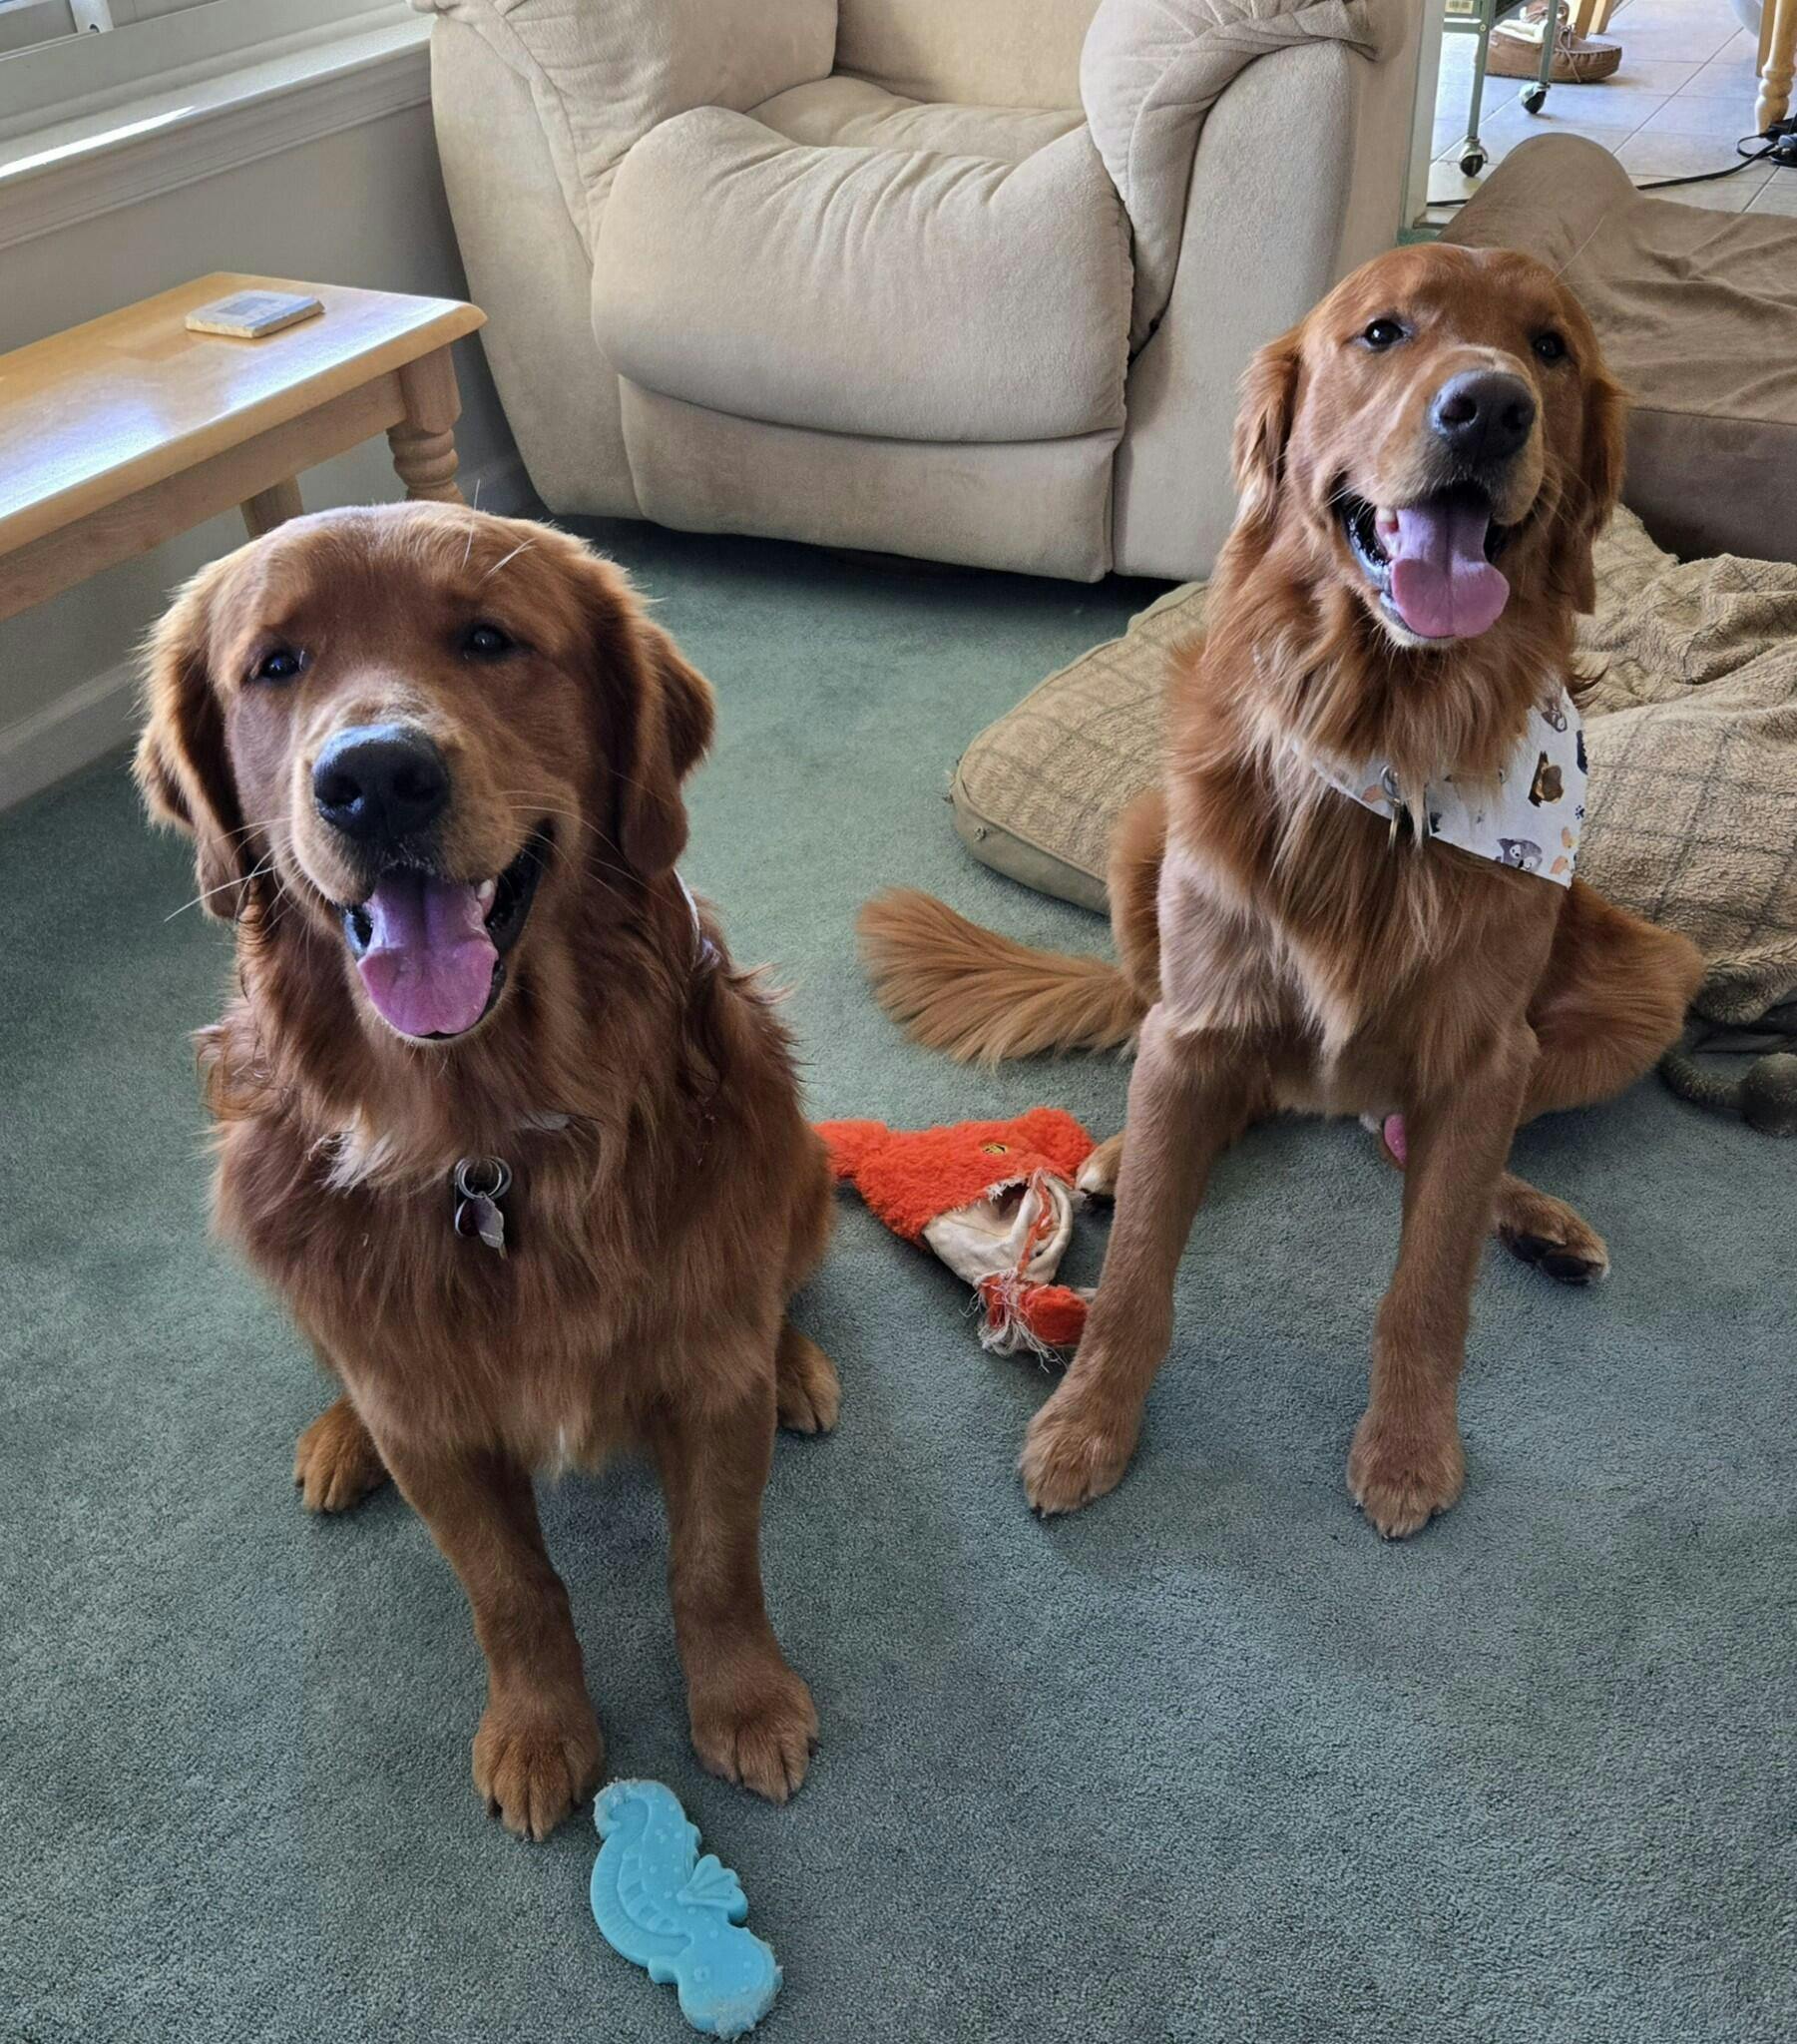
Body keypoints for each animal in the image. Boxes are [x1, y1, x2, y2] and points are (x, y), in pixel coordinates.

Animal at [136, 504, 838, 1838]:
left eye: (487, 638)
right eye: (275, 664)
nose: (374, 778)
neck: (488, 1144)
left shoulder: (702, 1378)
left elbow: (714, 1562)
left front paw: (745, 1701)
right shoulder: (433, 1426)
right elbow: (510, 1587)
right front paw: (538, 1727)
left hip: (803, 1179)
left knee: (778, 1294)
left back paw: (797, 1366)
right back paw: (339, 1437)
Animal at [860, 244, 1702, 1538]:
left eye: (1550, 347)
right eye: (1382, 331)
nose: (1489, 407)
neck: (1391, 742)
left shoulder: (1482, 1050)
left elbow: (1429, 1276)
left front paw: (1408, 1442)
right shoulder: (1198, 1008)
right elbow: (1140, 1267)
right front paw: (1086, 1421)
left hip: (1647, 978)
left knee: (1398, 1131)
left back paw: (1537, 1221)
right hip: (1144, 840)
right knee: (1228, 1087)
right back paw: (1125, 1152)